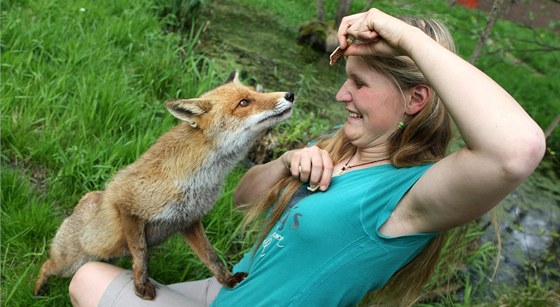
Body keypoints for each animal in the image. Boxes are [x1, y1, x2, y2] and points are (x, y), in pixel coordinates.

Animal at [32, 72, 296, 300]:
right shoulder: (127, 205)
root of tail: (81, 203)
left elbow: (212, 258)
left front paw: (228, 280)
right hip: (70, 264)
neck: (201, 179)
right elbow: (141, 254)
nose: (290, 94)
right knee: (46, 264)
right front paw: (141, 286)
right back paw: (37, 290)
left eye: (254, 92)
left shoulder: (189, 220)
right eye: (244, 102)